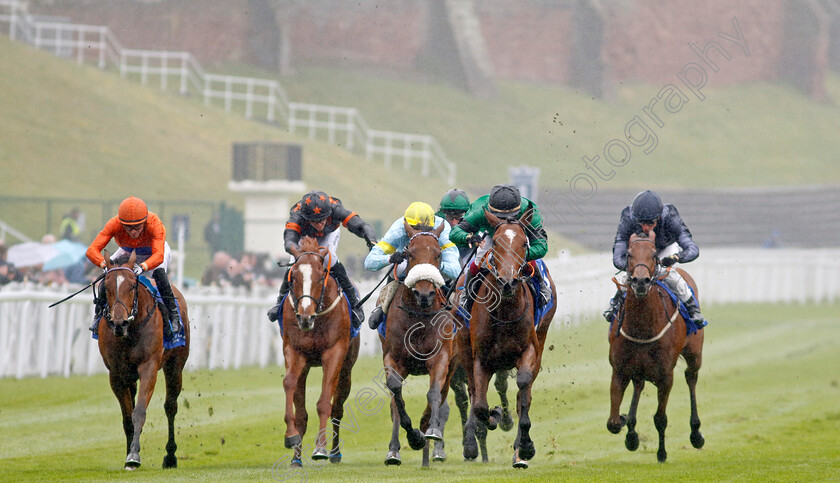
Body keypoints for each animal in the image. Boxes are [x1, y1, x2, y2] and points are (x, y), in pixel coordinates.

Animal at [97, 251, 189, 470]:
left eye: (132, 285)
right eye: (106, 286)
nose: (119, 323)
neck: (130, 332)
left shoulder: (149, 367)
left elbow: (138, 412)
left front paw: (134, 456)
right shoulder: (117, 375)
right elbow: (127, 418)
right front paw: (130, 453)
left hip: (175, 365)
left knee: (170, 407)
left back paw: (170, 456)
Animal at [282, 236, 360, 466]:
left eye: (320, 277)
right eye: (294, 277)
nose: (305, 317)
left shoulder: (334, 353)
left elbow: (325, 402)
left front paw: (320, 448)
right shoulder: (294, 350)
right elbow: (289, 384)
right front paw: (290, 437)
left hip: (346, 370)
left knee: (337, 409)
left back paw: (335, 453)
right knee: (302, 411)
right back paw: (296, 458)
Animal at [378, 221, 456, 466]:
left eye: (438, 253)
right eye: (410, 254)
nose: (424, 293)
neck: (419, 317)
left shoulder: (440, 358)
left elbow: (434, 393)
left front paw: (430, 430)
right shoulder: (392, 358)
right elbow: (396, 393)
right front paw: (413, 437)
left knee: (441, 394)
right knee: (394, 402)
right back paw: (394, 450)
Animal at [462, 209, 556, 468]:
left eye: (524, 243)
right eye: (496, 243)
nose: (508, 281)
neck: (504, 310)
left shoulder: (529, 350)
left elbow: (523, 388)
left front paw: (525, 446)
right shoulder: (481, 358)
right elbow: (480, 405)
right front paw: (495, 417)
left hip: (542, 336)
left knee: (525, 390)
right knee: (474, 392)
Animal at [608, 233, 704, 464]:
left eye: (653, 255)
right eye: (628, 254)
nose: (640, 281)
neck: (642, 327)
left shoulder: (665, 375)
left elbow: (660, 418)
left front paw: (661, 453)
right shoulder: (619, 370)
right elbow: (613, 423)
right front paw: (627, 425)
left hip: (694, 354)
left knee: (691, 378)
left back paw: (696, 433)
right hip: (638, 368)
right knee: (639, 385)